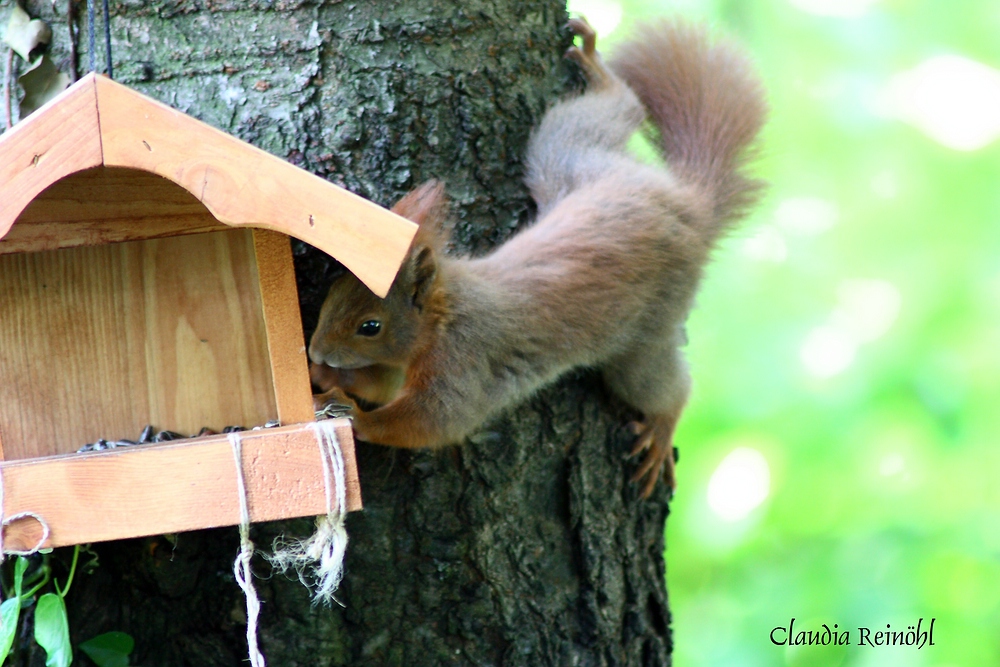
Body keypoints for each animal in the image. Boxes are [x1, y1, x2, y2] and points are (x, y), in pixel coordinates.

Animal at [310, 18, 764, 498]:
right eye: (333, 292)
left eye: (370, 327)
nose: (315, 350)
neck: (444, 315)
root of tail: (688, 204)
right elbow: (381, 384)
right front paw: (325, 379)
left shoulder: (462, 362)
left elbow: (433, 420)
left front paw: (357, 419)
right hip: (572, 161)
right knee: (606, 117)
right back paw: (599, 72)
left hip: (649, 330)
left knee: (661, 387)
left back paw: (660, 431)